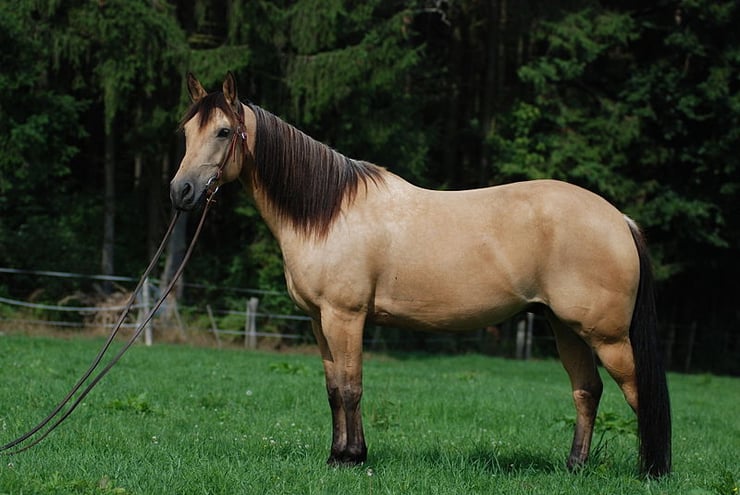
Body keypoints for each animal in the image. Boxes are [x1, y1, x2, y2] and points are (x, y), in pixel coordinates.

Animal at [170, 73, 671, 477]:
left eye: (223, 131)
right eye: (186, 131)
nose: (182, 192)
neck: (329, 214)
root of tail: (619, 219)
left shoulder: (345, 317)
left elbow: (351, 387)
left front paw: (353, 458)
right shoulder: (317, 320)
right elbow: (333, 389)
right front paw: (336, 456)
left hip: (607, 336)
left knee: (638, 393)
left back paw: (651, 471)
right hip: (565, 327)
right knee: (587, 391)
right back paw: (574, 467)